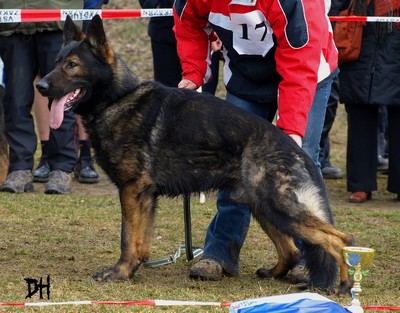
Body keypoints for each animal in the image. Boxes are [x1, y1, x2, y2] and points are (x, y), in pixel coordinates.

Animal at [36, 14, 354, 292]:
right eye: (56, 62)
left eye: (73, 65)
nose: (40, 86)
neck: (117, 98)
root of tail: (293, 148)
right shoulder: (143, 196)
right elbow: (140, 240)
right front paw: (133, 269)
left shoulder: (132, 190)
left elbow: (127, 237)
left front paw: (120, 272)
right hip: (263, 206)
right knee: (291, 249)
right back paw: (276, 274)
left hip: (279, 205)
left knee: (339, 239)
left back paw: (342, 286)